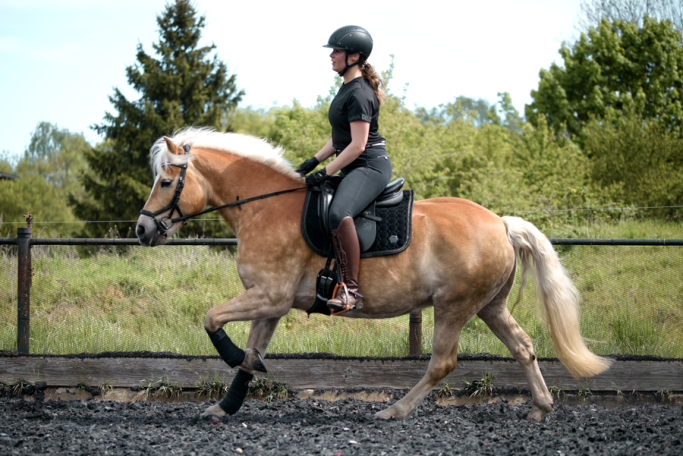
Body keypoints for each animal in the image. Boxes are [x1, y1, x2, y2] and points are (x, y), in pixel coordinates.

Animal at [135, 127, 612, 421]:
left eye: (165, 182)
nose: (141, 230)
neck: (264, 206)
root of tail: (500, 223)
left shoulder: (270, 296)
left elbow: (212, 320)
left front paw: (236, 360)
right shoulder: (269, 302)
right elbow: (251, 352)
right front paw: (227, 404)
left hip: (454, 306)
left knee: (443, 362)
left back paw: (394, 411)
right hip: (489, 306)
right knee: (524, 347)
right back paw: (541, 407)